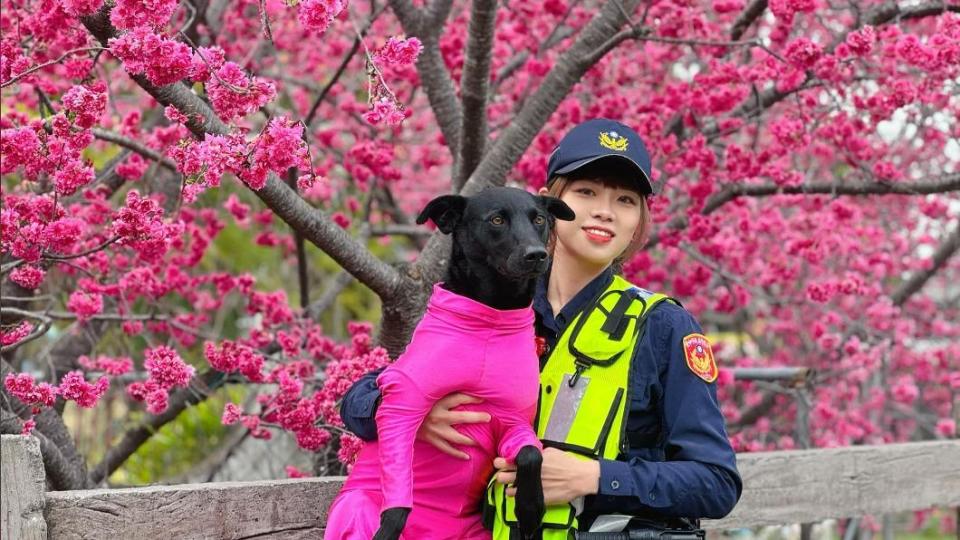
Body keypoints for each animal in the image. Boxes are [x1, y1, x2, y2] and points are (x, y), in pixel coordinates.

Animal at [372, 187, 572, 540]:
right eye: (496, 220)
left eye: (539, 219)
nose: (536, 255)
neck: (492, 317)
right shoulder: (401, 402)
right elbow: (397, 491)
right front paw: (389, 526)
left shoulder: (511, 417)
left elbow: (531, 453)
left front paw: (530, 507)